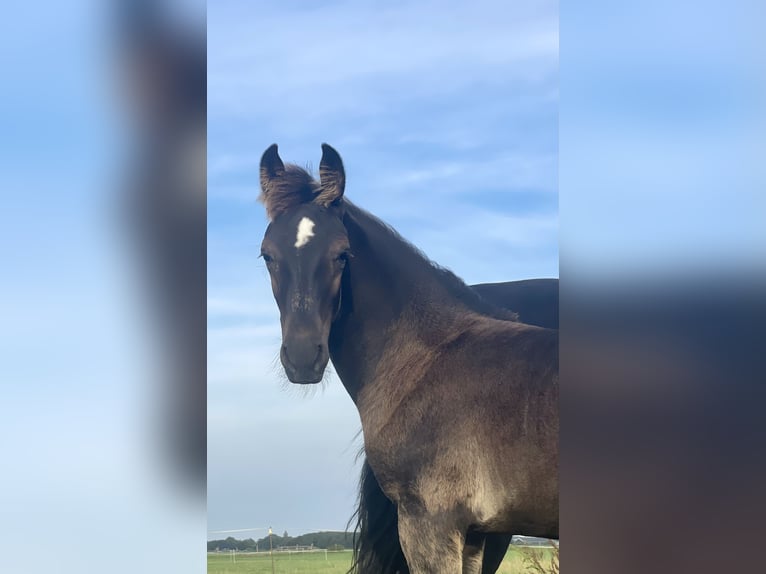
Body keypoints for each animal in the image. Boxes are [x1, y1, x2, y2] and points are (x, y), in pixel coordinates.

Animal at [258, 145, 560, 574]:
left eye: (341, 254)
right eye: (267, 255)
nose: (302, 357)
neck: (429, 356)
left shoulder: (430, 524)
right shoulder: (473, 534)